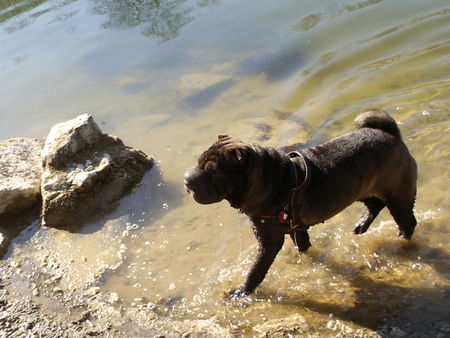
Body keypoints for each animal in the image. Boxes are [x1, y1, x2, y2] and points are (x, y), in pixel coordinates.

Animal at [185, 109, 416, 300]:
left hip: (398, 196)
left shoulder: (269, 241)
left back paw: (402, 239)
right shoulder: (296, 228)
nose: (186, 180)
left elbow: (256, 271)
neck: (273, 181)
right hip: (360, 189)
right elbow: (302, 246)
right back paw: (361, 225)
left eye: (214, 171)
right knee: (375, 205)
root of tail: (391, 133)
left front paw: (241, 292)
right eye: (199, 161)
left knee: (407, 220)